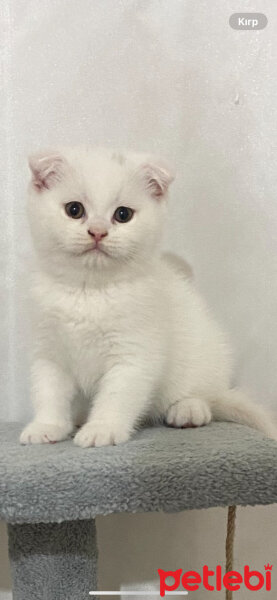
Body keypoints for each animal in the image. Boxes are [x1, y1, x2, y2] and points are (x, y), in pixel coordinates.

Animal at [20, 145, 276, 446]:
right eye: (74, 209)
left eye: (123, 214)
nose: (98, 232)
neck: (90, 291)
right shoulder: (49, 351)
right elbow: (48, 391)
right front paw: (47, 426)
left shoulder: (134, 353)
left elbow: (117, 395)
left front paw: (102, 428)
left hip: (203, 354)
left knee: (206, 395)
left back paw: (189, 409)